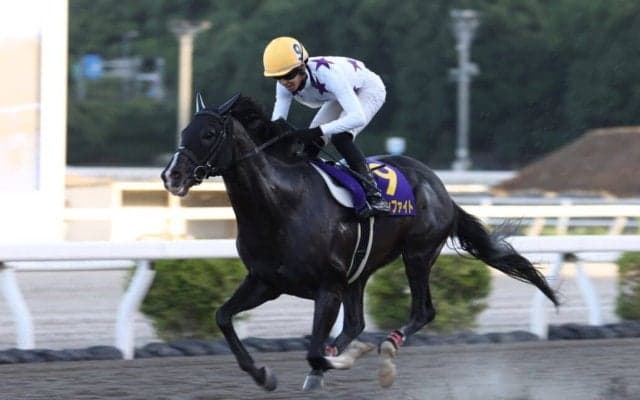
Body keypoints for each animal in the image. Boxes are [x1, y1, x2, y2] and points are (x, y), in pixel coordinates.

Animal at [161, 93, 559, 391]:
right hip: (360, 271)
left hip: (417, 254)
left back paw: (385, 351)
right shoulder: (266, 281)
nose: (171, 175)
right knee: (356, 323)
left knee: (422, 311)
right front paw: (264, 375)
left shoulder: (328, 288)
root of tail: (440, 188)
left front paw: (337, 360)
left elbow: (314, 351)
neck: (281, 203)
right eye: (184, 130)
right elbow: (223, 317)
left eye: (210, 133)